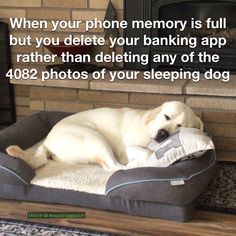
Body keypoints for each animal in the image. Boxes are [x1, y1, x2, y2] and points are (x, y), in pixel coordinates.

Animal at [6, 101, 203, 171]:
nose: (163, 133)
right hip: (94, 136)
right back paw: (134, 165)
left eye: (180, 126)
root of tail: (47, 142)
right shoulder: (128, 147)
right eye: (167, 116)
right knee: (116, 167)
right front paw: (145, 157)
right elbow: (147, 152)